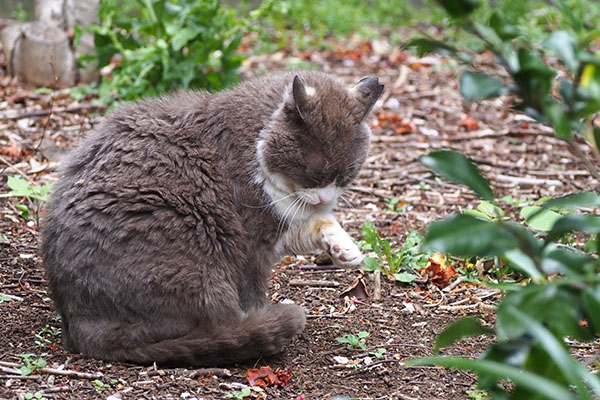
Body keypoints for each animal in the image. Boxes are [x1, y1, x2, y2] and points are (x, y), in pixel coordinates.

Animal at [41, 71, 384, 366]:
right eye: (312, 172)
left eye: (346, 175)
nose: (325, 198)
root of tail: (78, 323)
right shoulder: (252, 238)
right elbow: (253, 289)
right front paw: (260, 314)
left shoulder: (284, 222)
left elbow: (316, 223)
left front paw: (345, 249)